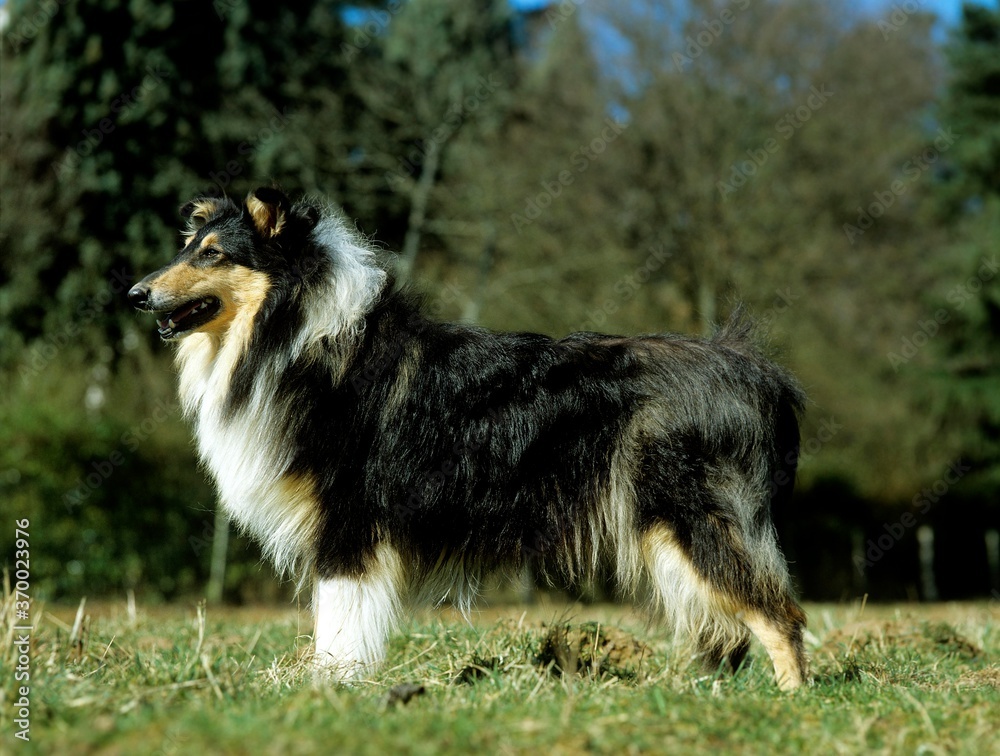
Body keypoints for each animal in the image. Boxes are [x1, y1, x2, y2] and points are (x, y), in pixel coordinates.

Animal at [129, 186, 808, 688]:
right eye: (189, 246)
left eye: (214, 254)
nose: (135, 293)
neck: (297, 337)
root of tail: (751, 367)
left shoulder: (348, 524)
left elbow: (339, 621)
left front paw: (331, 688)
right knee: (728, 626)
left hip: (691, 515)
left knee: (778, 614)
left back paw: (789, 703)